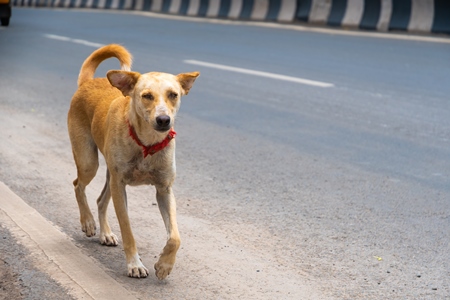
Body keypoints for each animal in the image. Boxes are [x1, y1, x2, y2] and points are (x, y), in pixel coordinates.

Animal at [67, 44, 199, 278]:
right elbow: (128, 231)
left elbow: (175, 237)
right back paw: (88, 222)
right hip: (89, 162)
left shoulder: (164, 190)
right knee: (78, 185)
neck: (147, 145)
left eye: (173, 95)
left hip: (110, 175)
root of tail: (88, 82)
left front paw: (165, 265)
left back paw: (105, 233)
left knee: (100, 200)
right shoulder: (120, 187)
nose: (163, 120)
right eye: (147, 96)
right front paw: (134, 264)